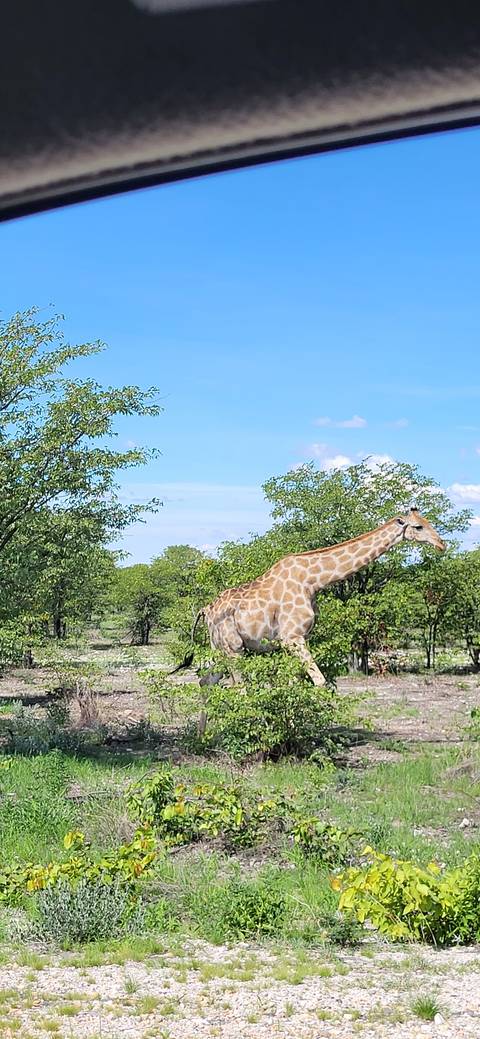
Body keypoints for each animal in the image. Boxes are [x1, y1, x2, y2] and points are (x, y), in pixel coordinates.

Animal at [179, 509, 445, 687]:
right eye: (419, 527)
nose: (441, 544)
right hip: (234, 648)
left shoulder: (297, 639)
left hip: (220, 648)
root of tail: (206, 610)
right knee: (239, 686)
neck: (313, 582)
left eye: (428, 522)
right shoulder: (291, 638)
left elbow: (295, 684)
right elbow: (319, 682)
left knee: (206, 681)